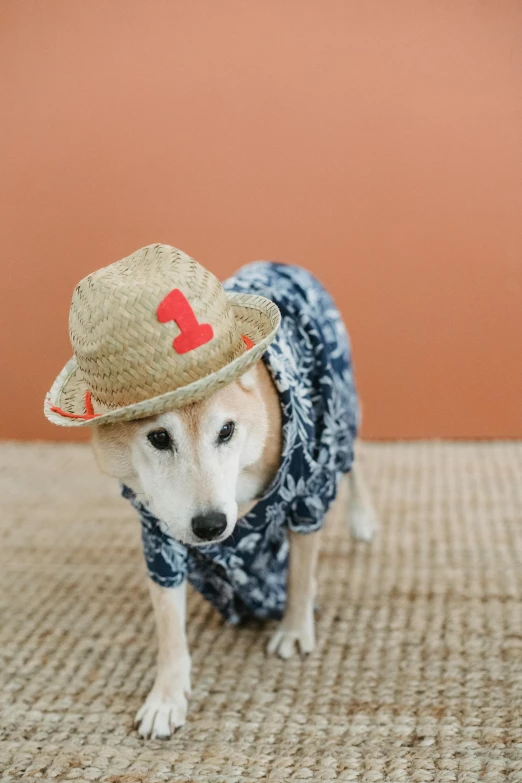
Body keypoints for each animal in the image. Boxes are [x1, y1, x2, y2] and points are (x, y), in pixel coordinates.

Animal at [43, 247, 378, 740]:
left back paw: (362, 519)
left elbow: (300, 574)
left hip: (338, 413)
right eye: (159, 438)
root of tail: (284, 264)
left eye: (227, 431)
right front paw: (166, 696)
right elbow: (168, 626)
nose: (210, 526)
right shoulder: (159, 535)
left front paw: (295, 627)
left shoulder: (304, 494)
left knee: (354, 461)